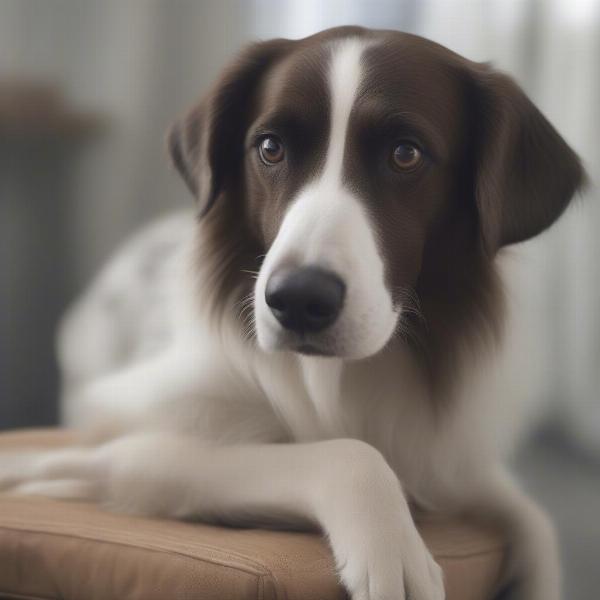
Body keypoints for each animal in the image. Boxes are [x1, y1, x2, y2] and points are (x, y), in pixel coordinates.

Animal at [0, 27, 584, 600]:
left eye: (406, 154)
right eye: (270, 147)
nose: (298, 299)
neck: (342, 377)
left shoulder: (451, 461)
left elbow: (535, 523)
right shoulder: (139, 435)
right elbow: (346, 452)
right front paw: (391, 544)